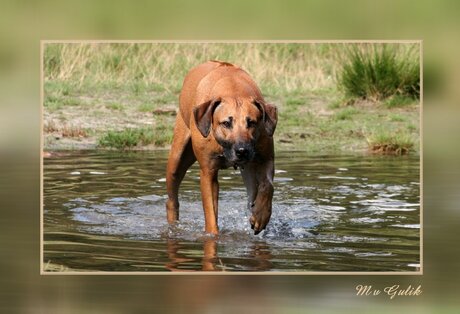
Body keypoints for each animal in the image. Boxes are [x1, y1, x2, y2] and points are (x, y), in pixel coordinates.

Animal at [167, 60, 278, 234]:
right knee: (172, 199)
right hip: (177, 157)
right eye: (226, 123)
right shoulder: (208, 171)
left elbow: (268, 186)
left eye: (251, 122)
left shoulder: (265, 158)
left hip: (249, 170)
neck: (233, 90)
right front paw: (213, 235)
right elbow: (210, 212)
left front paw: (260, 215)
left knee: (253, 191)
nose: (242, 151)